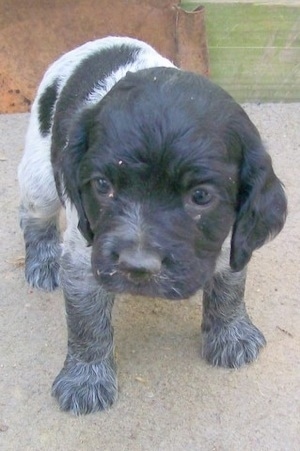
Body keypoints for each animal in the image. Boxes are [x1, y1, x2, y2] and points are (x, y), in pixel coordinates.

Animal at [17, 37, 288, 414]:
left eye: (200, 196)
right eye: (102, 185)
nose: (137, 266)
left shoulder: (229, 240)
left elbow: (229, 289)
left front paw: (230, 334)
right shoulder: (84, 257)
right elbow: (86, 323)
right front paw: (85, 379)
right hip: (41, 174)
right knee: (34, 215)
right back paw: (42, 261)